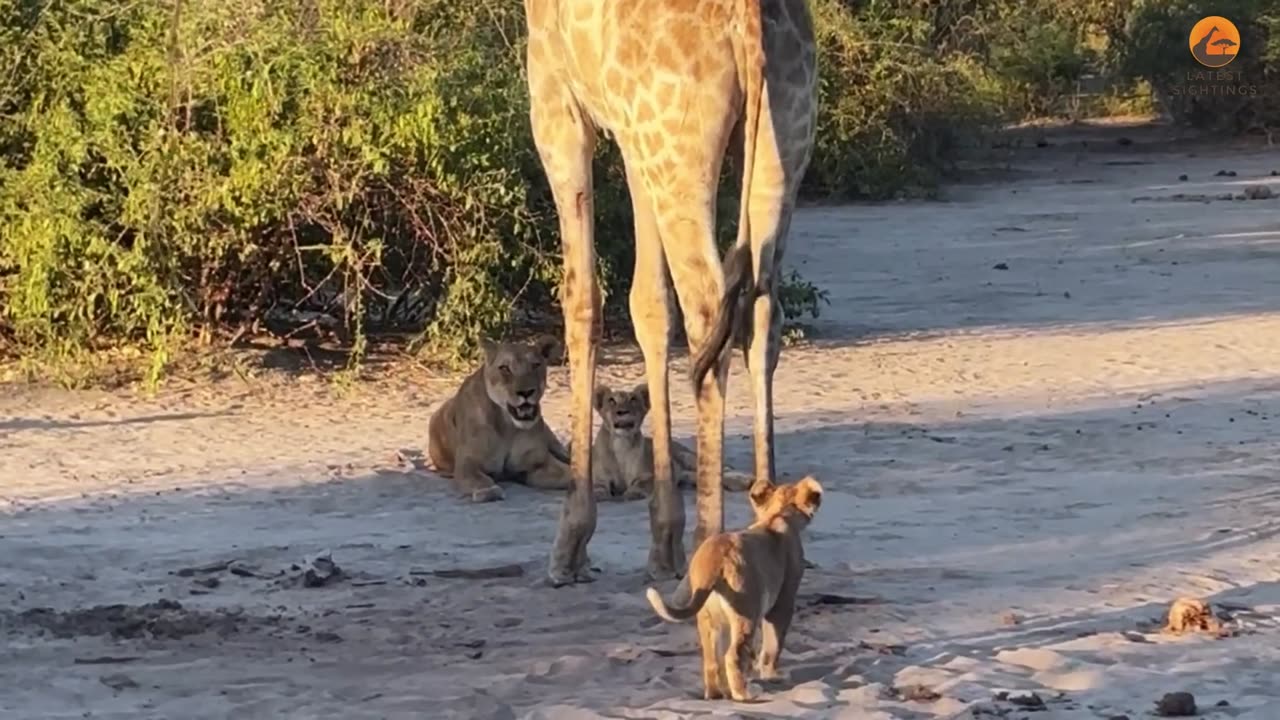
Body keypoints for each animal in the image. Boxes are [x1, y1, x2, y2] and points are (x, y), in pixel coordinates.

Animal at [522, 0, 814, 584]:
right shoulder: (633, 138)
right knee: (763, 311)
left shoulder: (557, 102)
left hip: (680, 152)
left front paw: (570, 545)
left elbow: (583, 299)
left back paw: (709, 548)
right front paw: (662, 543)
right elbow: (650, 305)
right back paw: (772, 531)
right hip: (781, 144)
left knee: (708, 309)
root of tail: (750, 18)